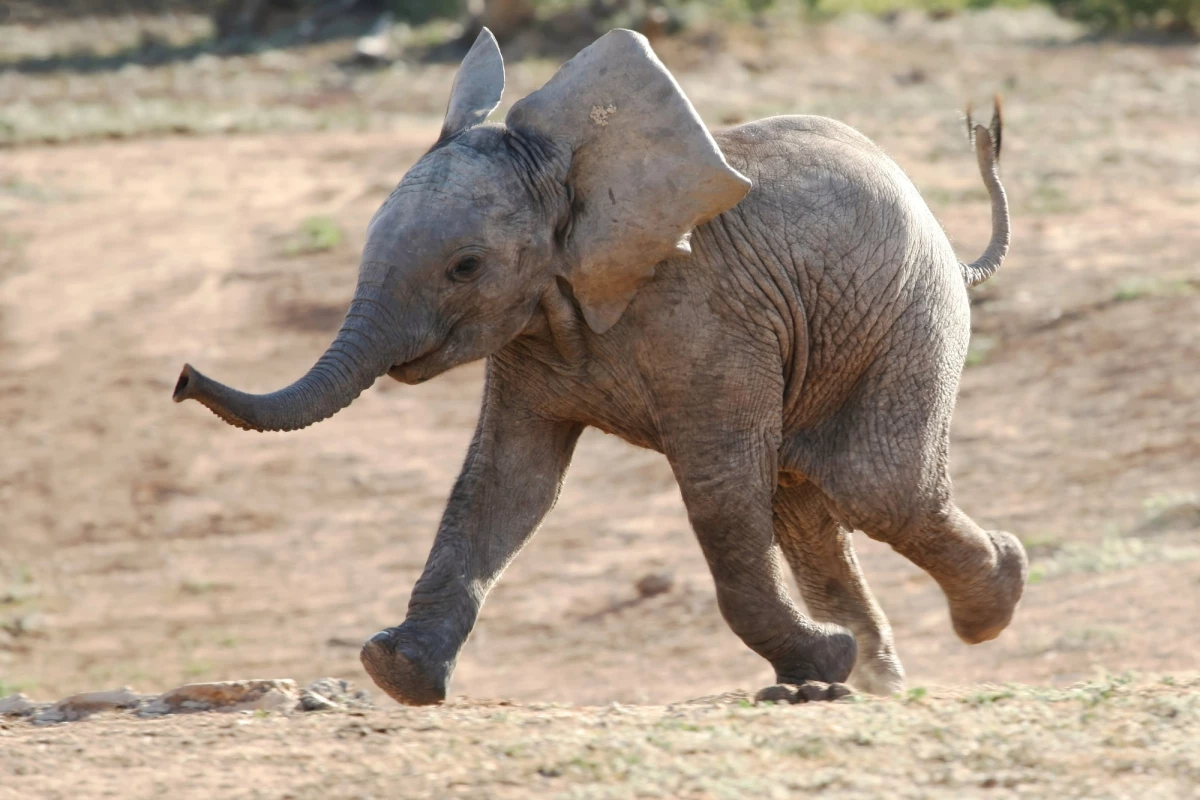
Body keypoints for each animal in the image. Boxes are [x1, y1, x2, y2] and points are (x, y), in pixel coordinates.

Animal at [173, 28, 1027, 702]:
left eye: (466, 267)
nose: (181, 379)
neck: (570, 178)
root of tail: (953, 248)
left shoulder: (708, 320)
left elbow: (719, 489)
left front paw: (825, 661)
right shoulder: (531, 333)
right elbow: (507, 482)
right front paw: (396, 672)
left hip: (909, 317)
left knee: (873, 486)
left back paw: (991, 601)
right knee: (808, 501)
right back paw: (872, 678)